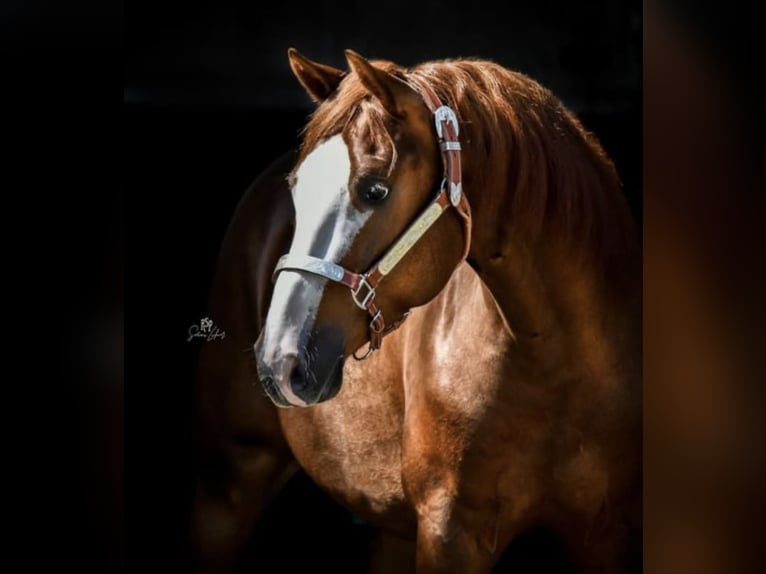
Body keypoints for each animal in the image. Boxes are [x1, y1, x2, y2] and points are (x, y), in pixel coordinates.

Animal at [191, 49, 641, 573]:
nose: (278, 362)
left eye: (375, 190)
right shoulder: (451, 534)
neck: (558, 366)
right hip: (225, 491)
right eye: (297, 189)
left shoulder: (607, 533)